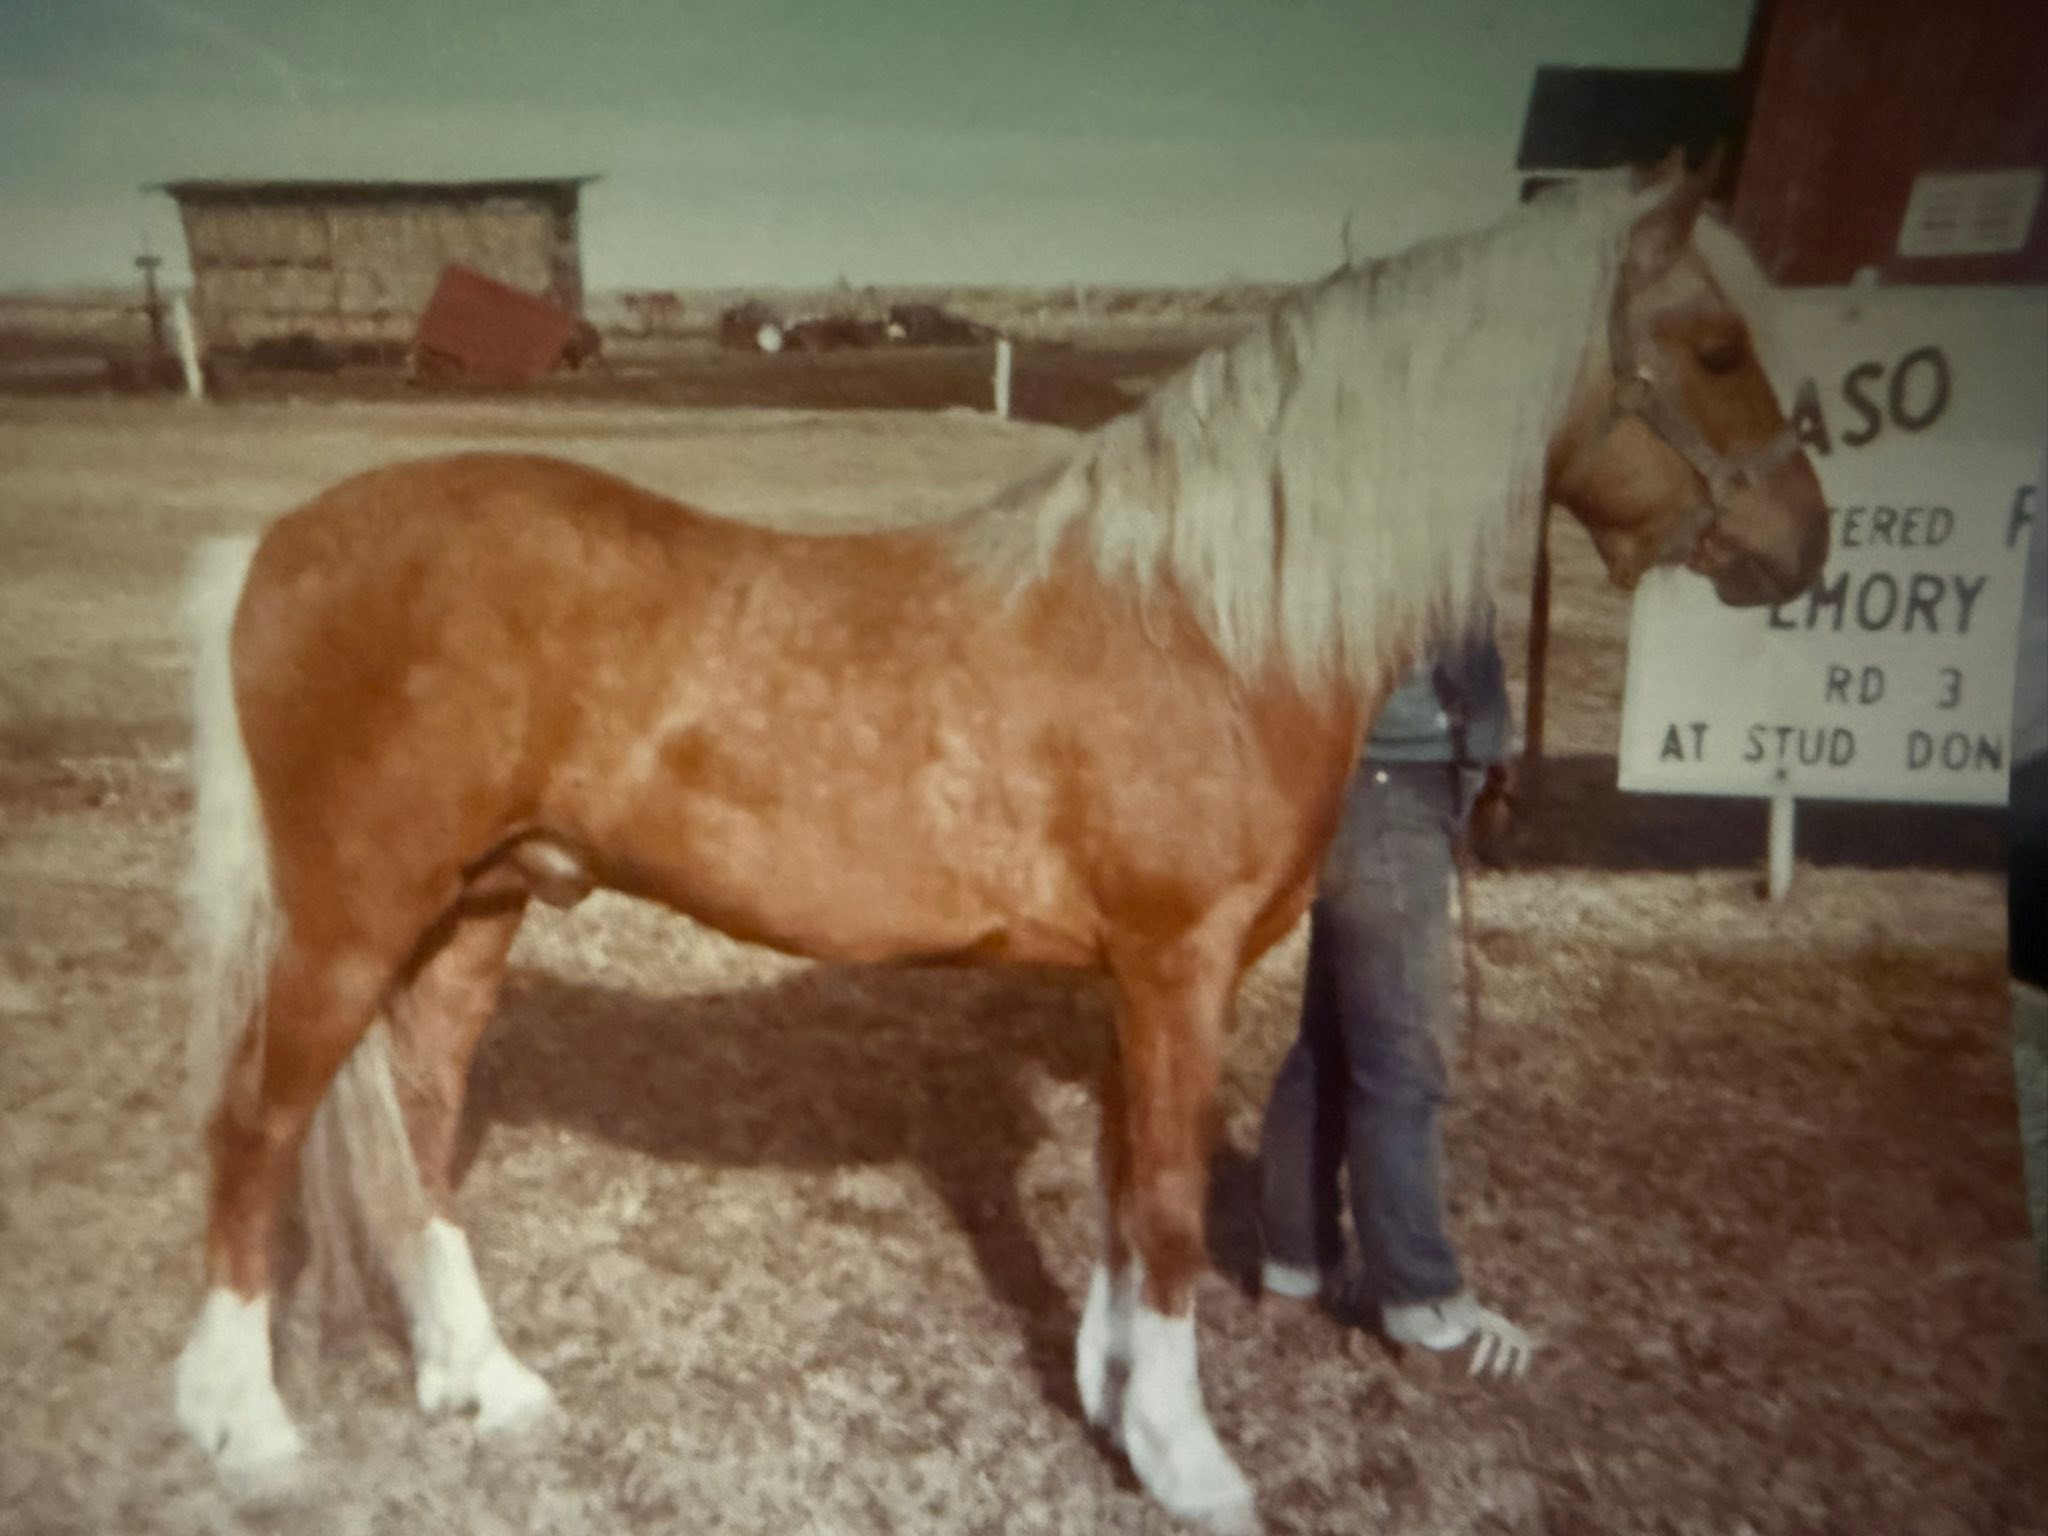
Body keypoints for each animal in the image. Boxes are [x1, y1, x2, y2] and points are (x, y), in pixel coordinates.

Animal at [171, 163, 1827, 1533]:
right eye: (1716, 349)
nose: (1801, 549)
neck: (1208, 616)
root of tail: (276, 544)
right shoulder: (1178, 967)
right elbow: (1166, 1210)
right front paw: (1192, 1464)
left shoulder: (1127, 981)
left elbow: (1117, 1194)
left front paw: (1115, 1410)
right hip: (351, 921)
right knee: (255, 1127)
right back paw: (246, 1426)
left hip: (479, 909)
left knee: (421, 1130)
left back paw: (482, 1384)